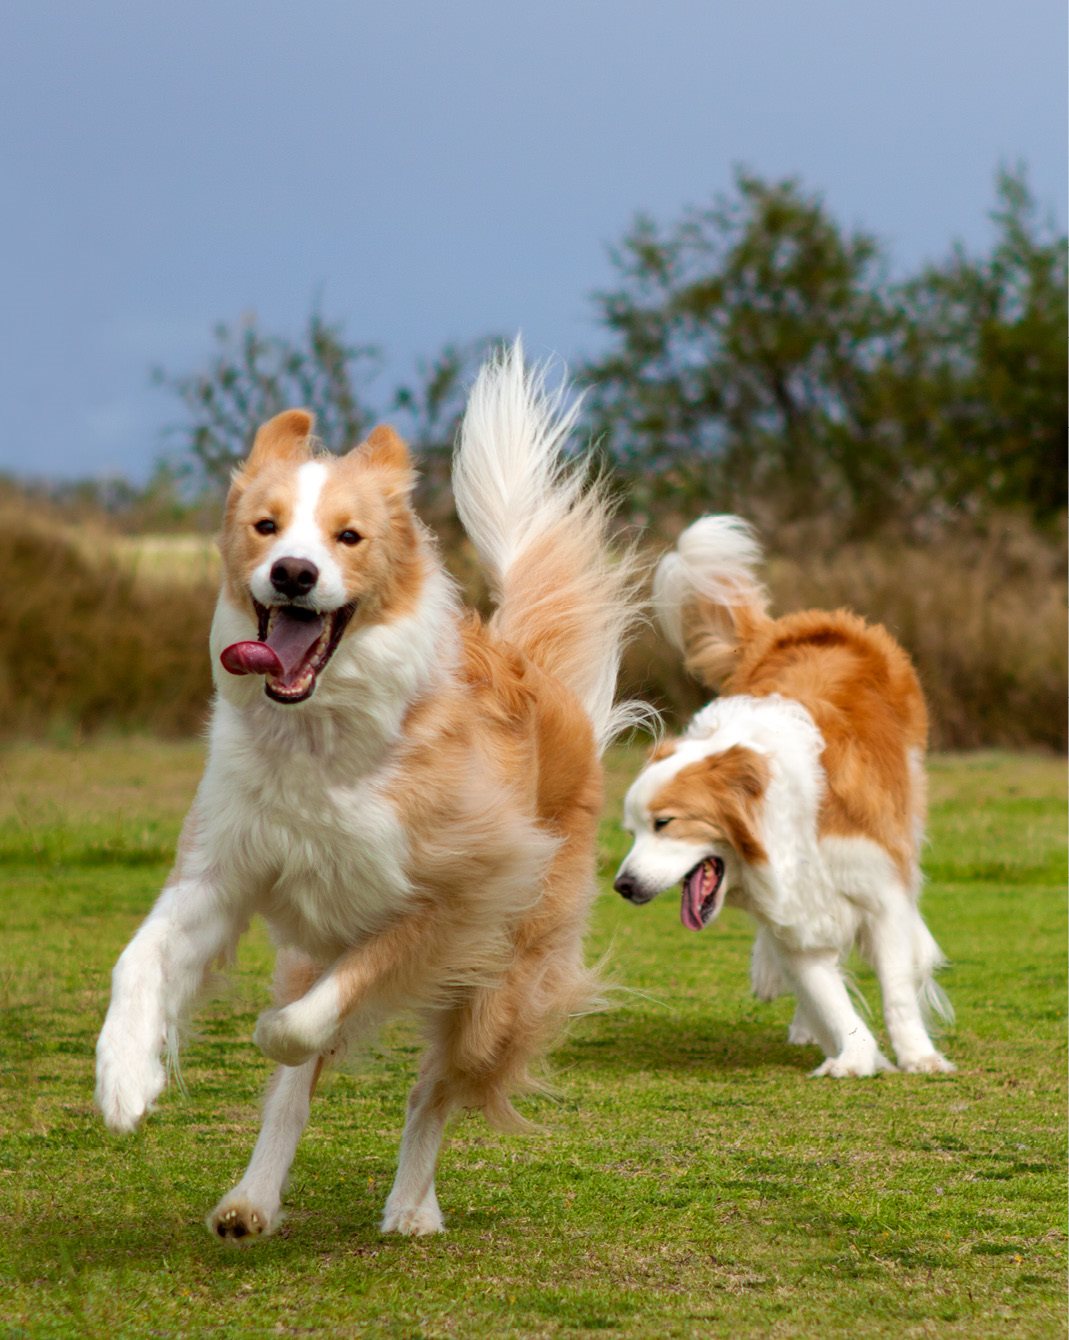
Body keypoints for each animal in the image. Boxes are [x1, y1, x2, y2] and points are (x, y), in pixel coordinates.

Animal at [96, 343, 640, 1232]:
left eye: (348, 536)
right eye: (266, 526)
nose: (292, 573)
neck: (319, 737)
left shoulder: (454, 900)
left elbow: (316, 1015)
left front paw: (273, 1030)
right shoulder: (222, 868)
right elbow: (139, 960)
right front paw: (123, 1075)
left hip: (497, 994)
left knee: (434, 1092)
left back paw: (412, 1206)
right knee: (293, 1100)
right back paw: (251, 1199)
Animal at [616, 511, 959, 1077]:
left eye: (664, 824)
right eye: (631, 831)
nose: (621, 885)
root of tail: (806, 622)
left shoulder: (878, 889)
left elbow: (896, 988)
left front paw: (917, 1055)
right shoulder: (789, 911)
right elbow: (826, 993)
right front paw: (853, 1056)